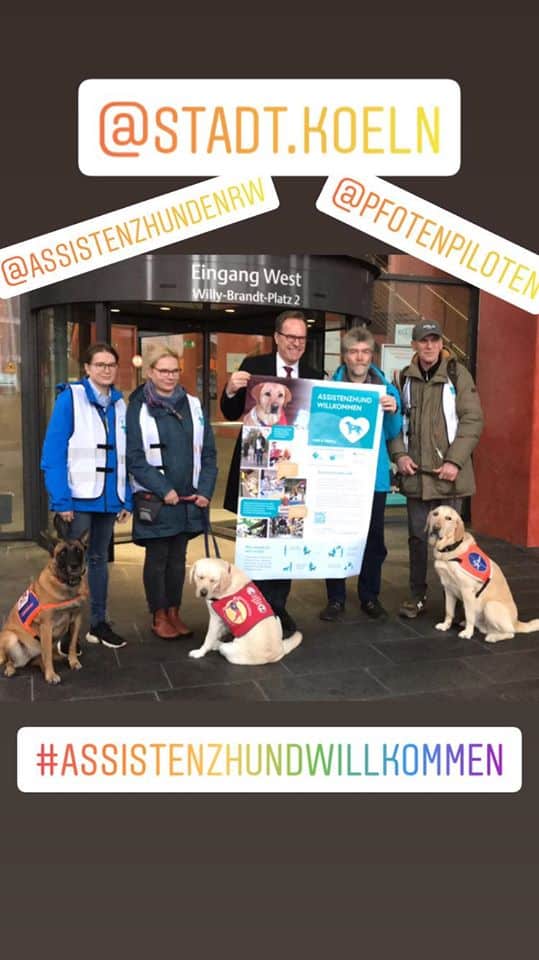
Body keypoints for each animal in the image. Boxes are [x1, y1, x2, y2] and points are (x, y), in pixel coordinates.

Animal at [428, 502, 536, 644]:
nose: (436, 528)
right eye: (435, 514)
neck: (449, 549)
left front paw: (468, 633)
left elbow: (469, 615)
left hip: (490, 606)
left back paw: (492, 637)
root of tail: (516, 622)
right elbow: (449, 611)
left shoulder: (467, 591)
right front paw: (446, 625)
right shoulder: (448, 589)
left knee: (510, 633)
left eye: (448, 518)